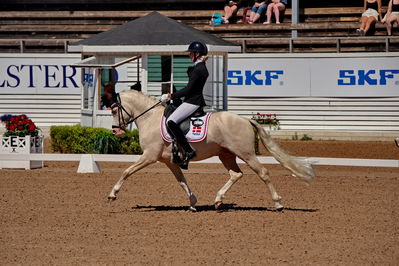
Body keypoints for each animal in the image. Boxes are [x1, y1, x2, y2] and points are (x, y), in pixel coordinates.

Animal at [108, 90, 316, 211]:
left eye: (113, 110)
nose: (115, 131)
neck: (149, 118)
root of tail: (245, 119)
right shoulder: (169, 161)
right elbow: (181, 181)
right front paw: (193, 203)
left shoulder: (149, 156)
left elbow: (126, 171)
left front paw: (112, 194)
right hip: (226, 155)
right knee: (236, 174)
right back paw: (218, 200)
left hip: (246, 154)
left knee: (263, 173)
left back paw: (278, 203)